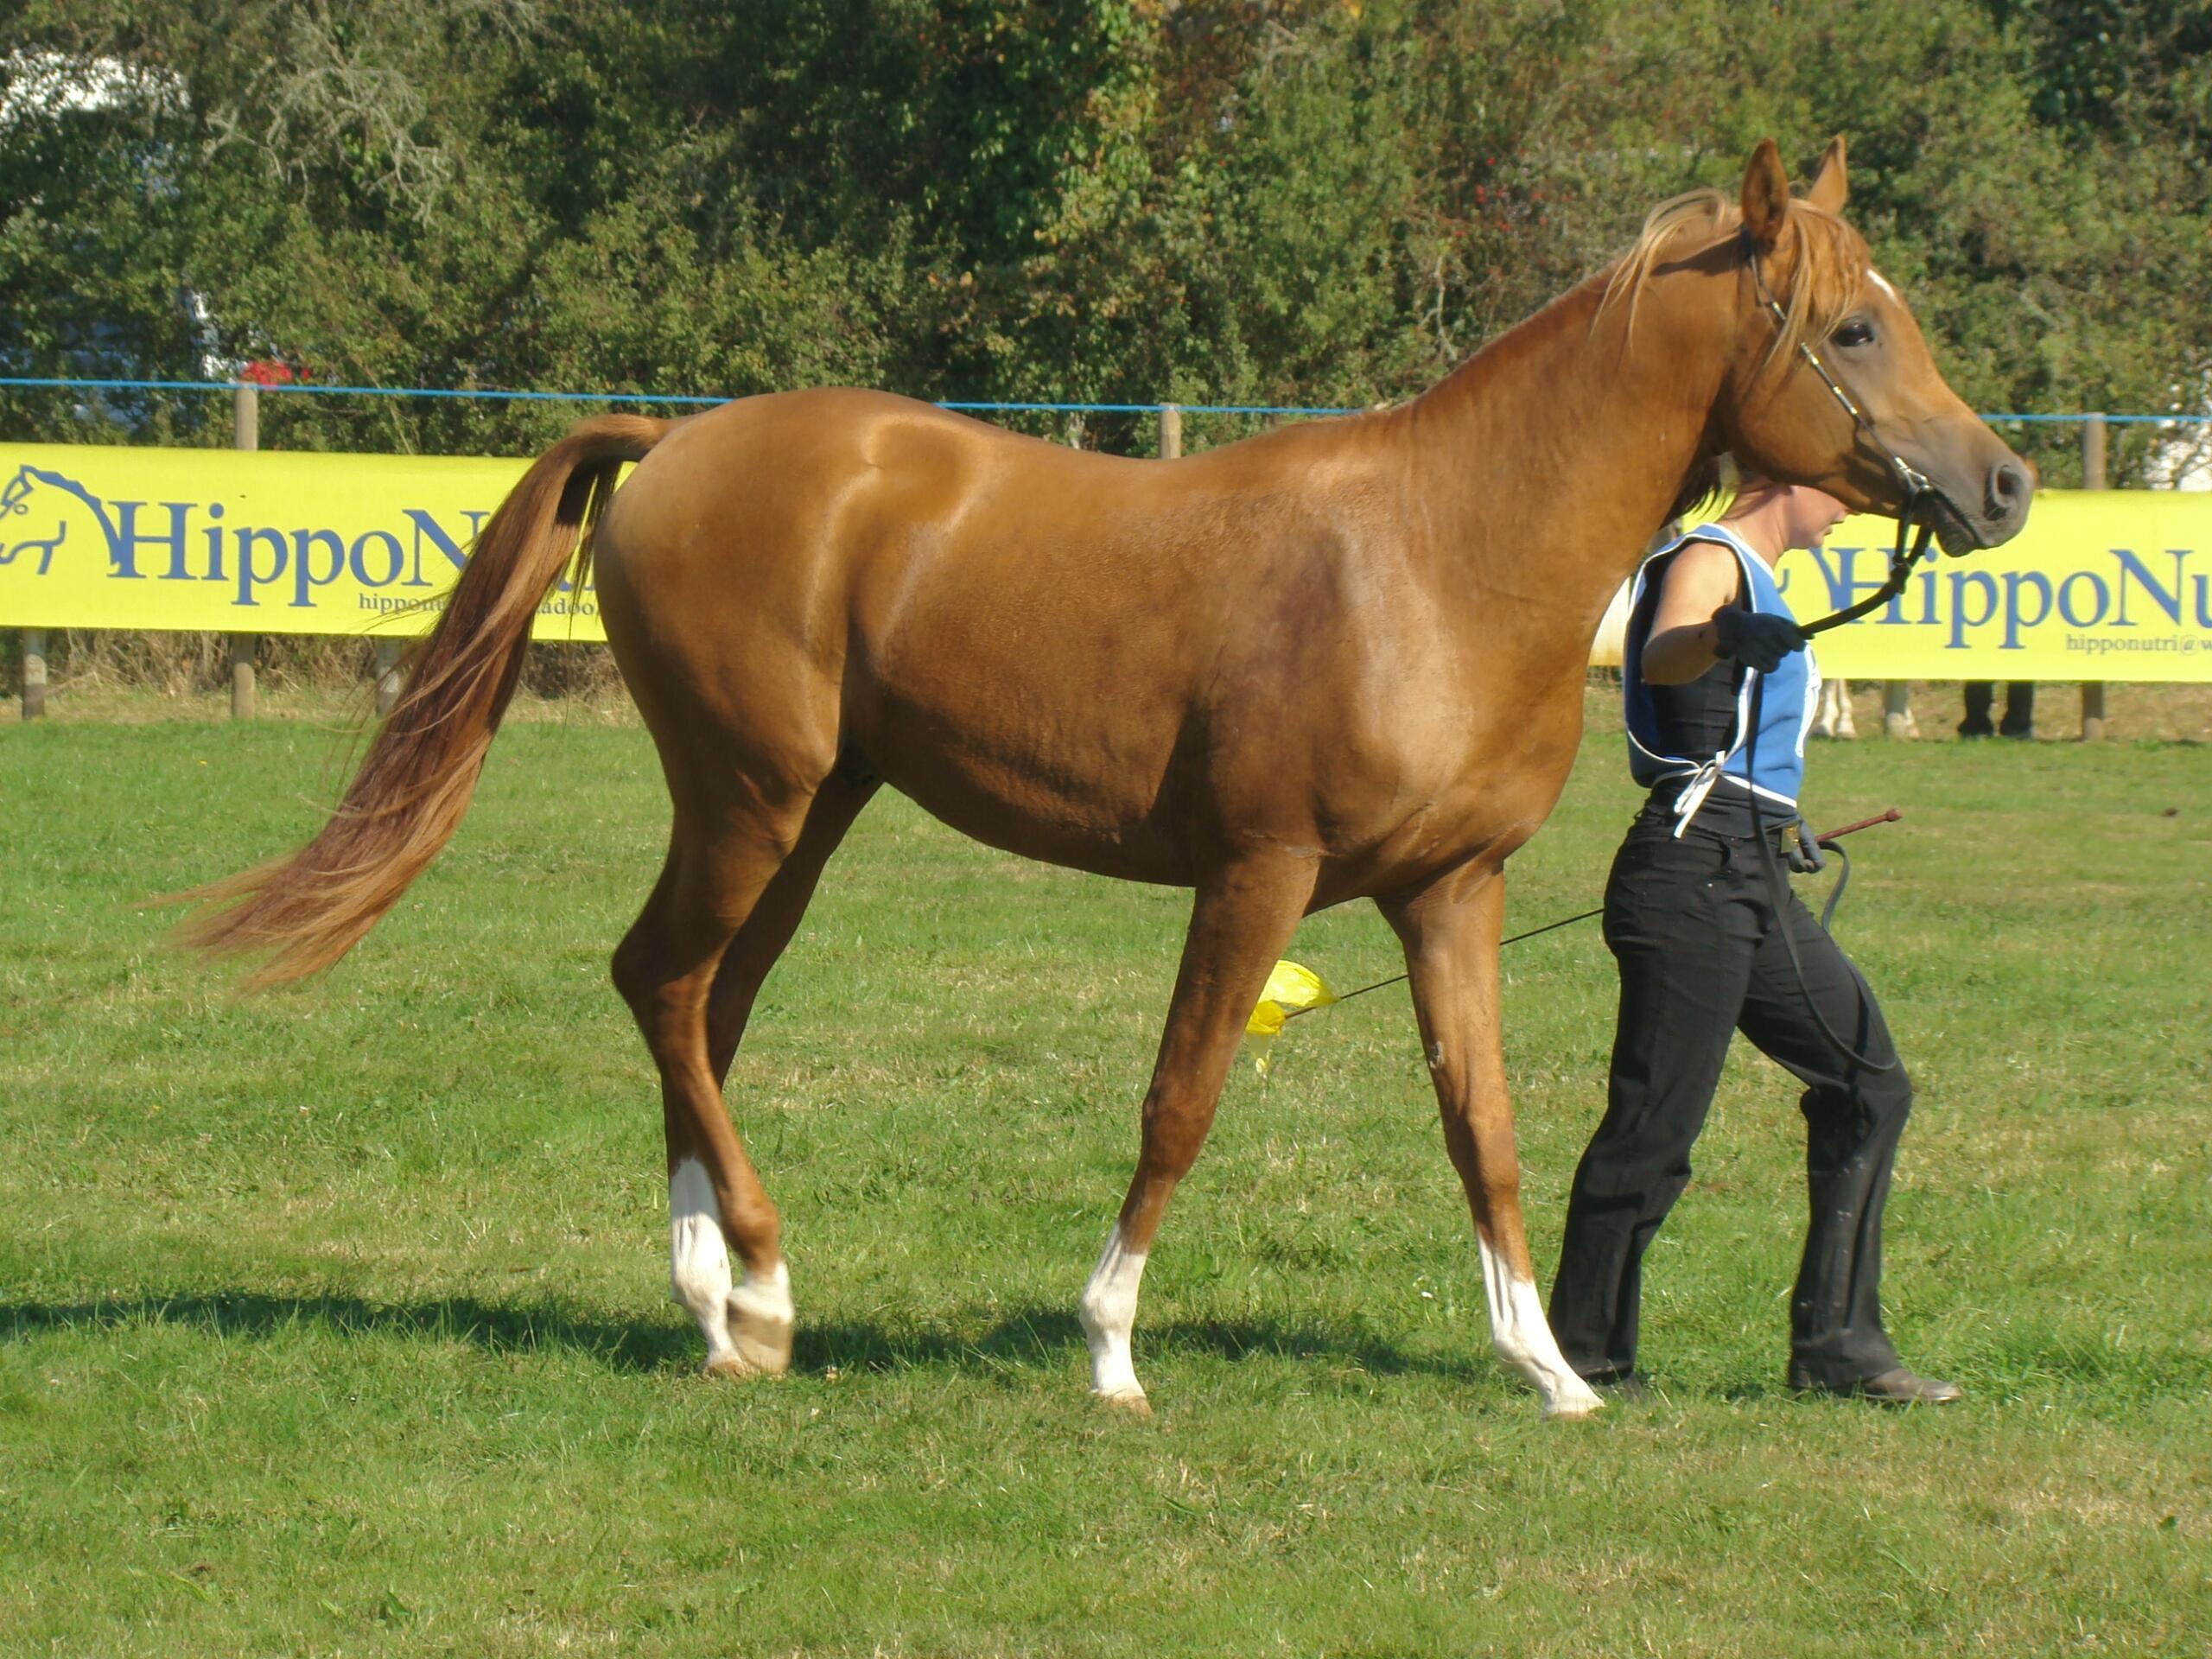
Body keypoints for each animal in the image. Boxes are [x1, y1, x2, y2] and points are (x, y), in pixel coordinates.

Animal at [180, 137, 2032, 1419]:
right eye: (1854, 326)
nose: (1999, 485)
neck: (1438, 556)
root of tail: (676, 441)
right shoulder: (1259, 873)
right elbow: (1184, 1096)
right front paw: (1112, 1350)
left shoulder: (1453, 894)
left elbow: (1489, 1124)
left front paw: (1553, 1371)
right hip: (749, 799)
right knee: (664, 986)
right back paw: (754, 1286)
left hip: (806, 816)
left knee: (698, 1003)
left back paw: (728, 1307)